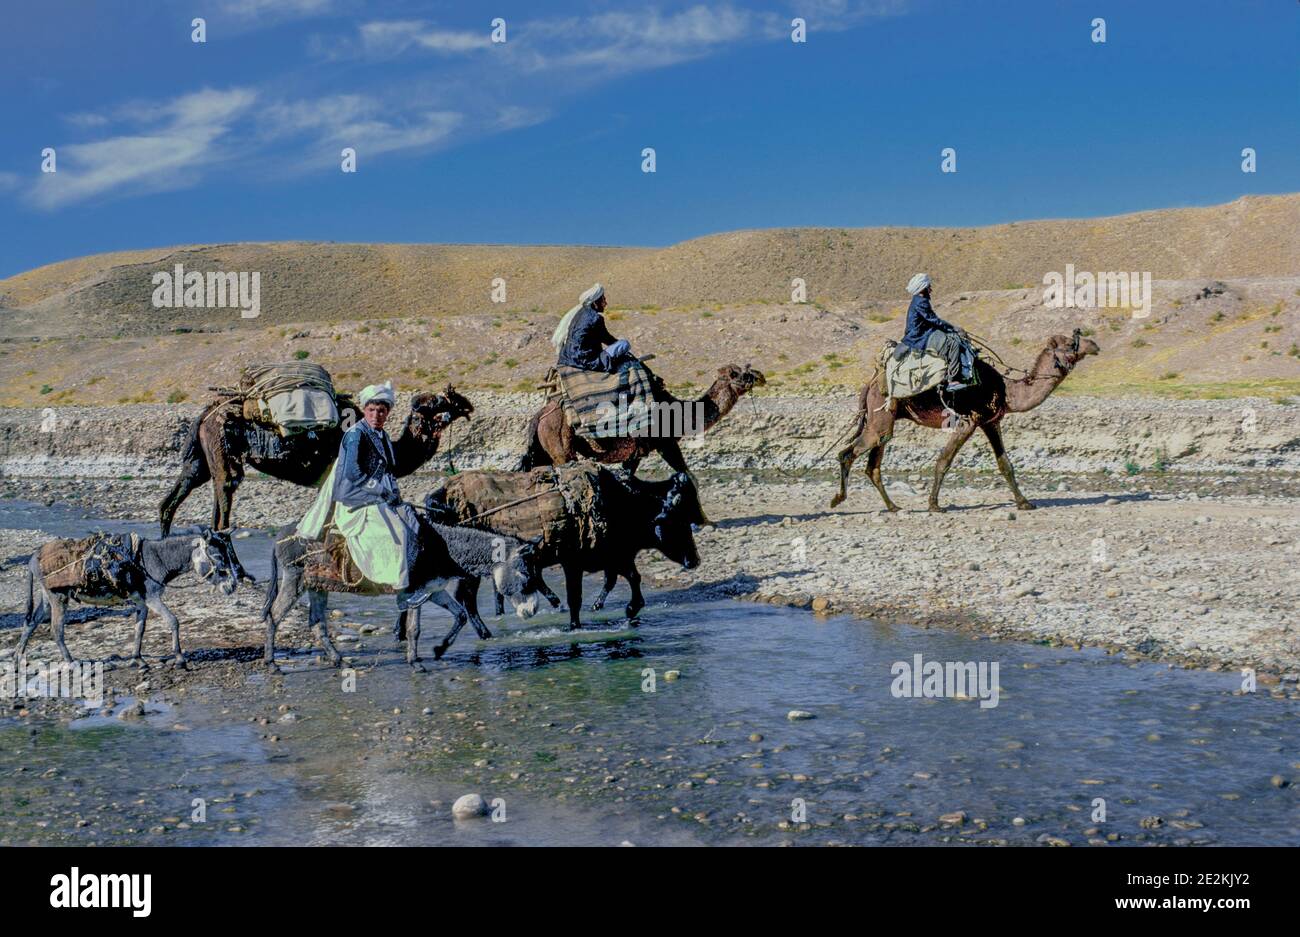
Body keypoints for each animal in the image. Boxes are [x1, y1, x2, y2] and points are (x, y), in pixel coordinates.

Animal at [832, 328, 1097, 512]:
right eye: (1069, 343)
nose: (1094, 344)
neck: (1006, 390)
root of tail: (870, 383)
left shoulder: (990, 421)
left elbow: (1005, 464)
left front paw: (1024, 502)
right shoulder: (968, 421)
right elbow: (944, 460)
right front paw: (934, 504)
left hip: (885, 418)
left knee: (873, 463)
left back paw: (893, 506)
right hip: (881, 414)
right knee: (848, 452)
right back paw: (838, 499)